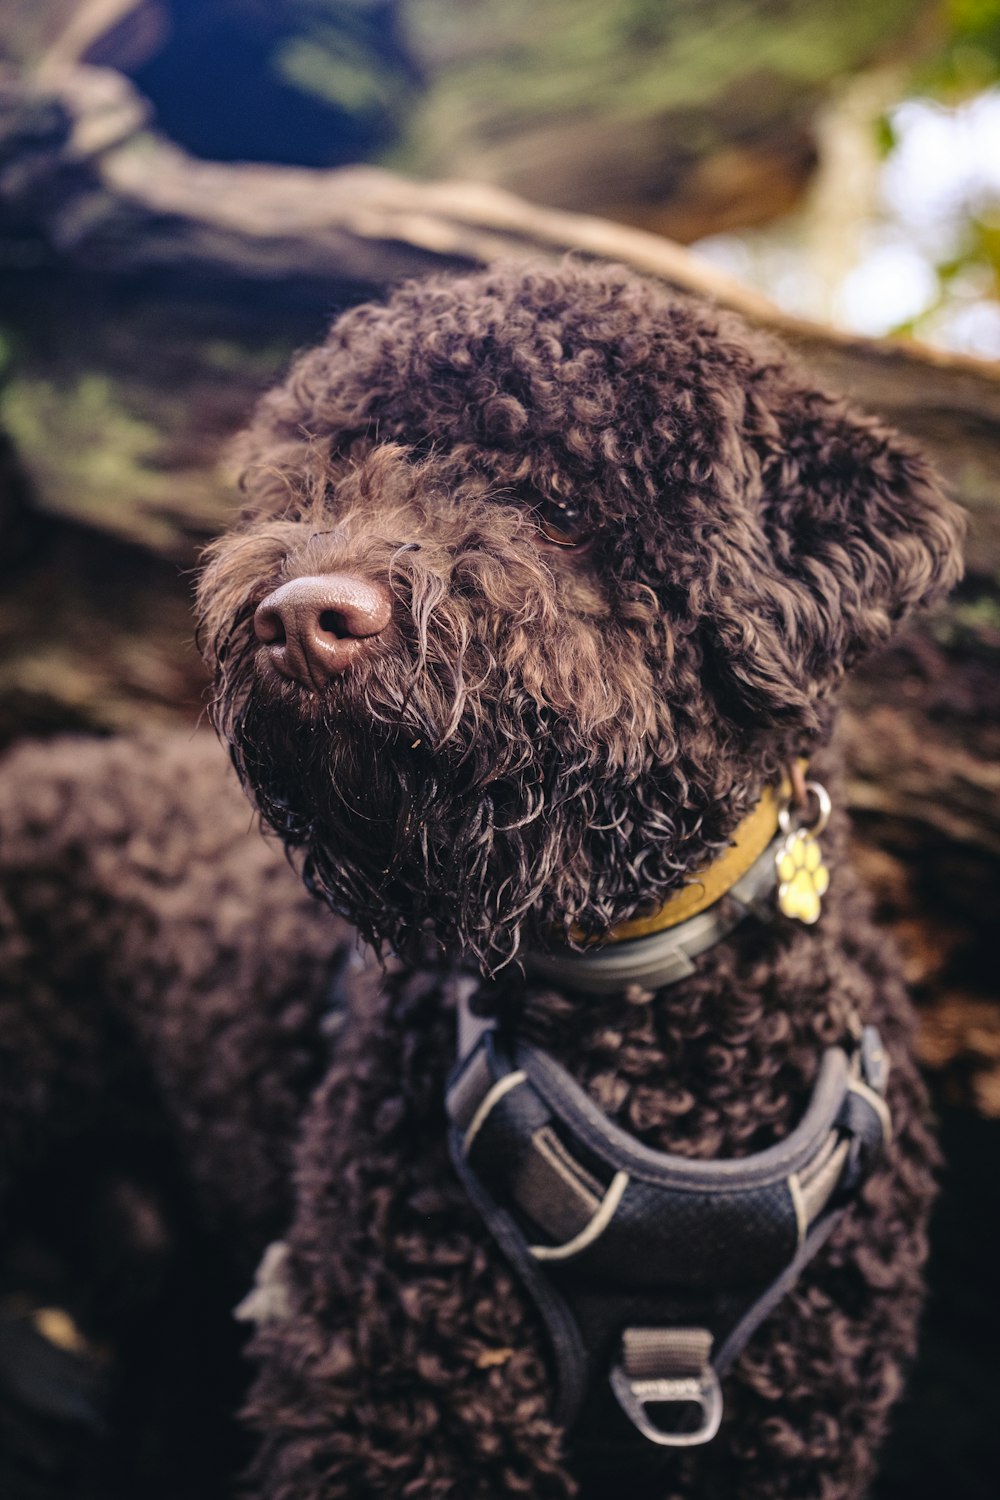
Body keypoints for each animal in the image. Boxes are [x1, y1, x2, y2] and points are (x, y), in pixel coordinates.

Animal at [3, 261, 965, 1500]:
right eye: (326, 478)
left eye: (555, 500)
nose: (299, 620)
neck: (636, 1016)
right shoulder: (394, 1404)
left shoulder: (794, 1433)